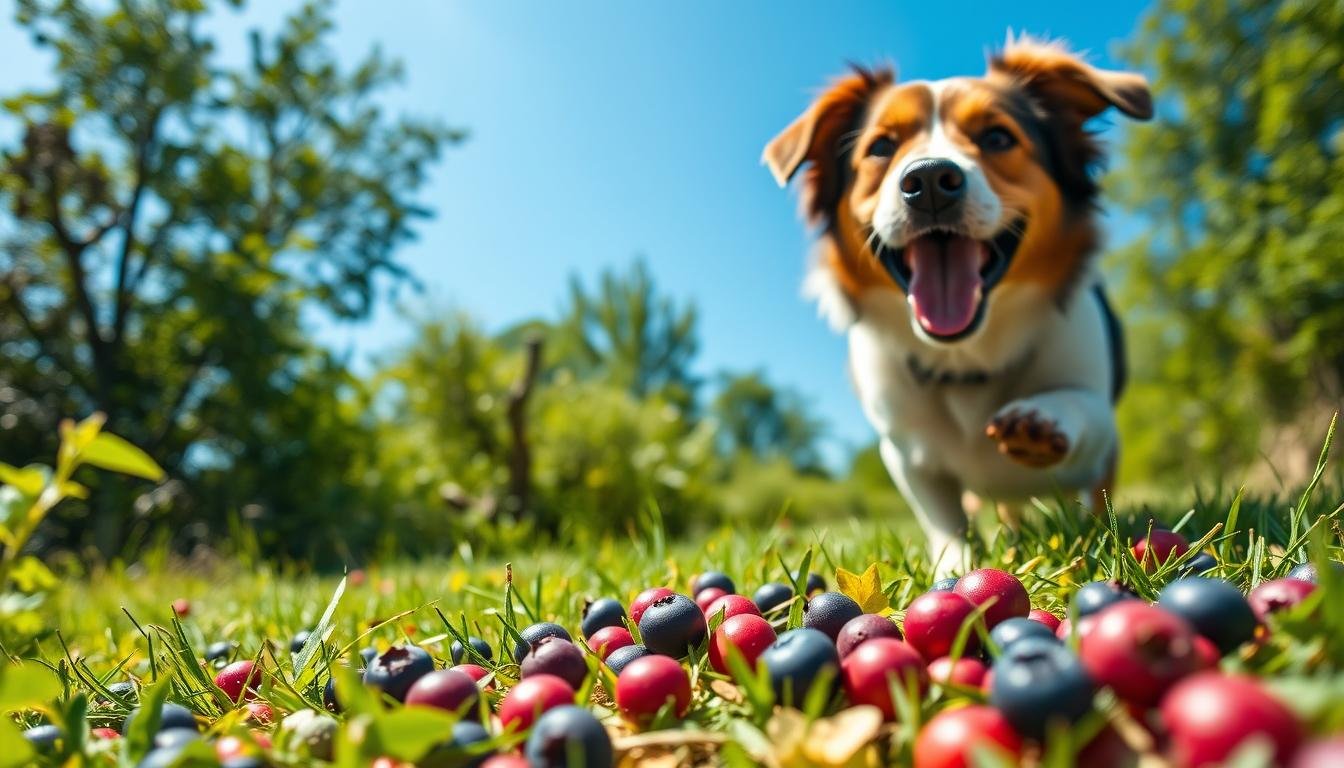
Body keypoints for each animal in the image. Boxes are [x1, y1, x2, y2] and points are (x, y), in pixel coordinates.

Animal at [763, 39, 1150, 572]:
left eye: (997, 137)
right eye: (881, 147)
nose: (928, 180)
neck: (966, 357)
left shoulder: (1100, 425)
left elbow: (1083, 409)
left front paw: (1040, 420)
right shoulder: (904, 448)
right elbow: (944, 517)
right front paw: (955, 565)